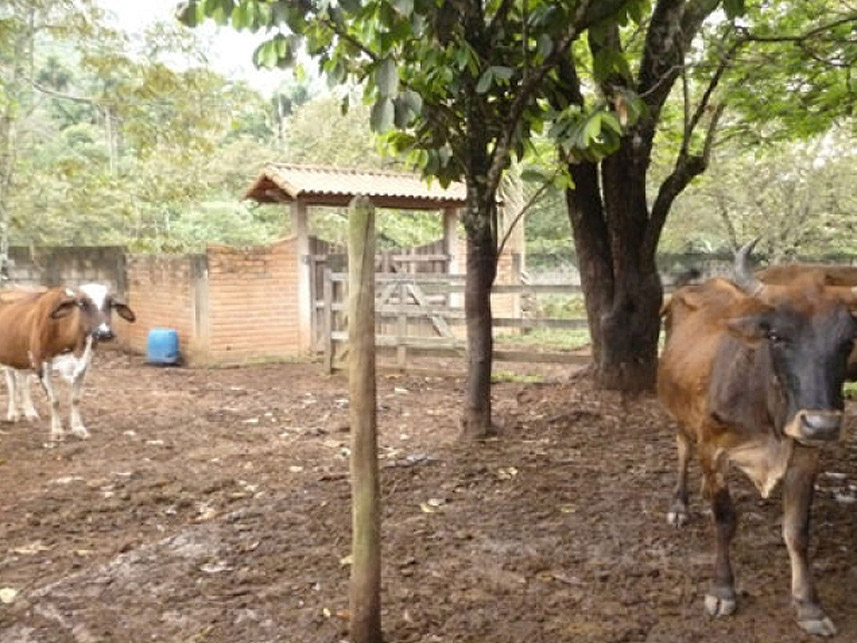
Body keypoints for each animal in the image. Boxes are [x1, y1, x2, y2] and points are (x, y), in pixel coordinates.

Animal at [0, 286, 135, 442]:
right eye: (82, 304)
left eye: (110, 303)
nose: (104, 333)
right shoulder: (42, 364)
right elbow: (54, 401)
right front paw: (57, 431)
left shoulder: (84, 365)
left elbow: (75, 399)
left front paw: (78, 428)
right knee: (12, 383)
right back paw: (13, 414)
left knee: (23, 381)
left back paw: (30, 413)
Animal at [660, 243, 852, 640]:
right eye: (777, 336)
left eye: (848, 342)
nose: (821, 424)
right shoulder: (714, 451)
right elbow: (724, 520)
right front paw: (722, 591)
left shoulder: (805, 458)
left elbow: (797, 532)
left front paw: (809, 606)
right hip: (680, 417)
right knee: (683, 450)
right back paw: (680, 505)